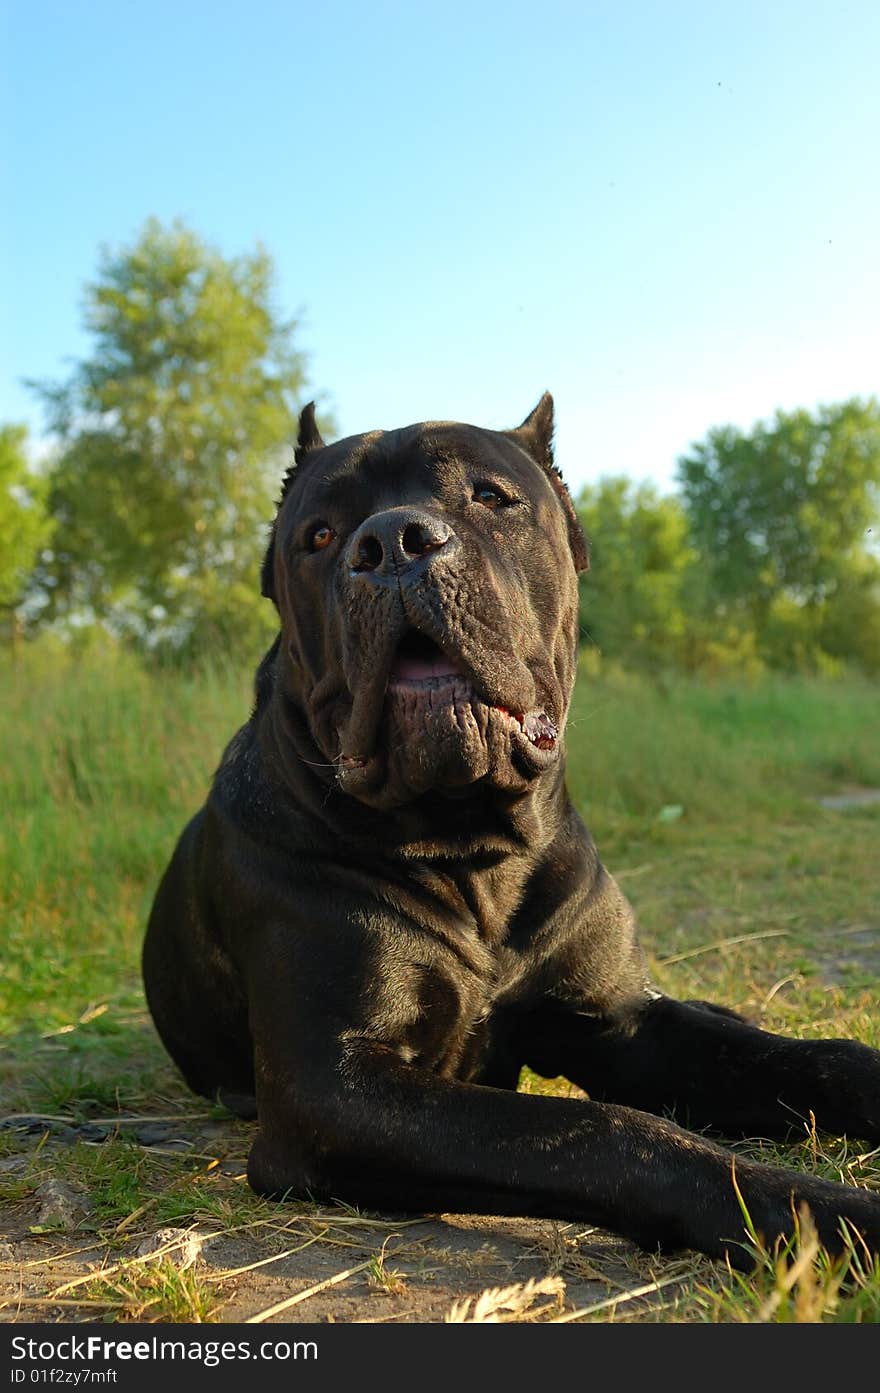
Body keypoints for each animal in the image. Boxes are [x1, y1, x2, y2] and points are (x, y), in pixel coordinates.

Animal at [144, 398, 880, 1270]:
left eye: (491, 497)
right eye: (319, 535)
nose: (393, 541)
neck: (471, 849)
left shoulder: (614, 1021)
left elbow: (819, 1058)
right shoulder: (334, 1088)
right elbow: (604, 1129)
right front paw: (829, 1213)